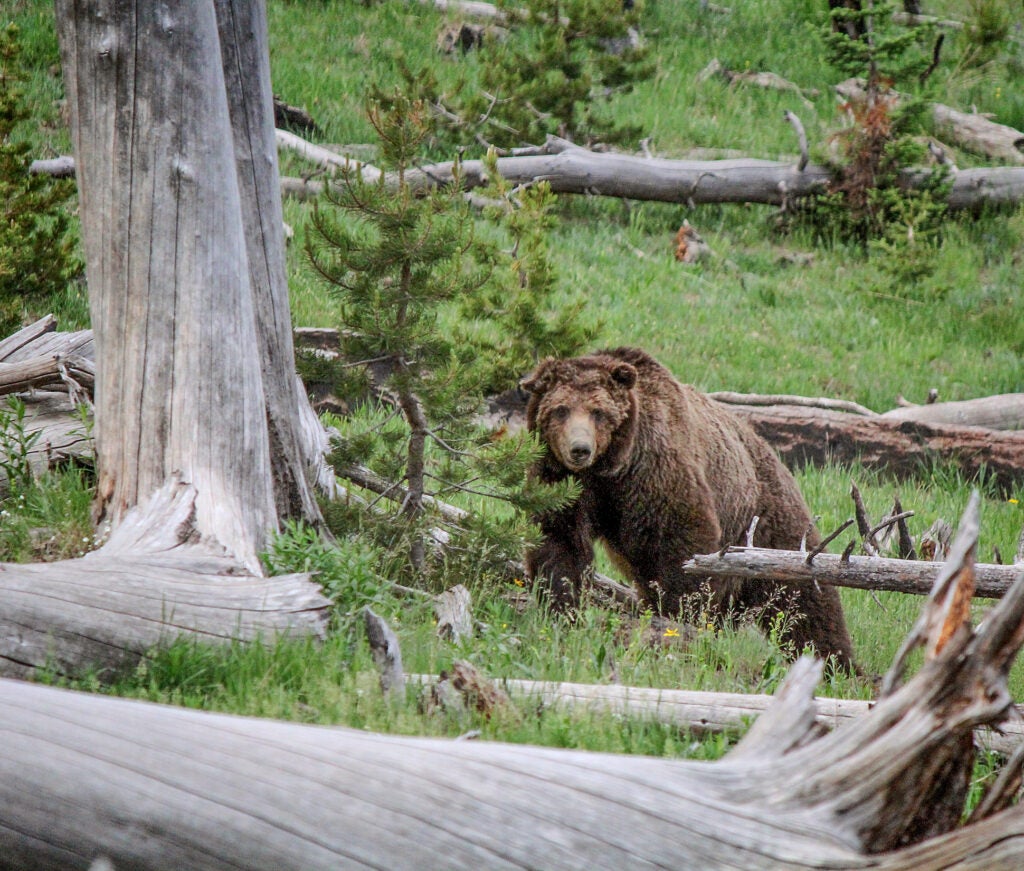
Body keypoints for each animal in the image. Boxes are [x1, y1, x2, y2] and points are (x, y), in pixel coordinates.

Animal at [520, 350, 856, 671]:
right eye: (560, 409)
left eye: (598, 412)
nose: (580, 449)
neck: (610, 470)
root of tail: (774, 456)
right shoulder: (564, 485)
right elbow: (559, 543)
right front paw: (561, 606)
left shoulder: (655, 473)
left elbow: (680, 547)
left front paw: (678, 620)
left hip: (765, 523)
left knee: (803, 601)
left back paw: (837, 663)